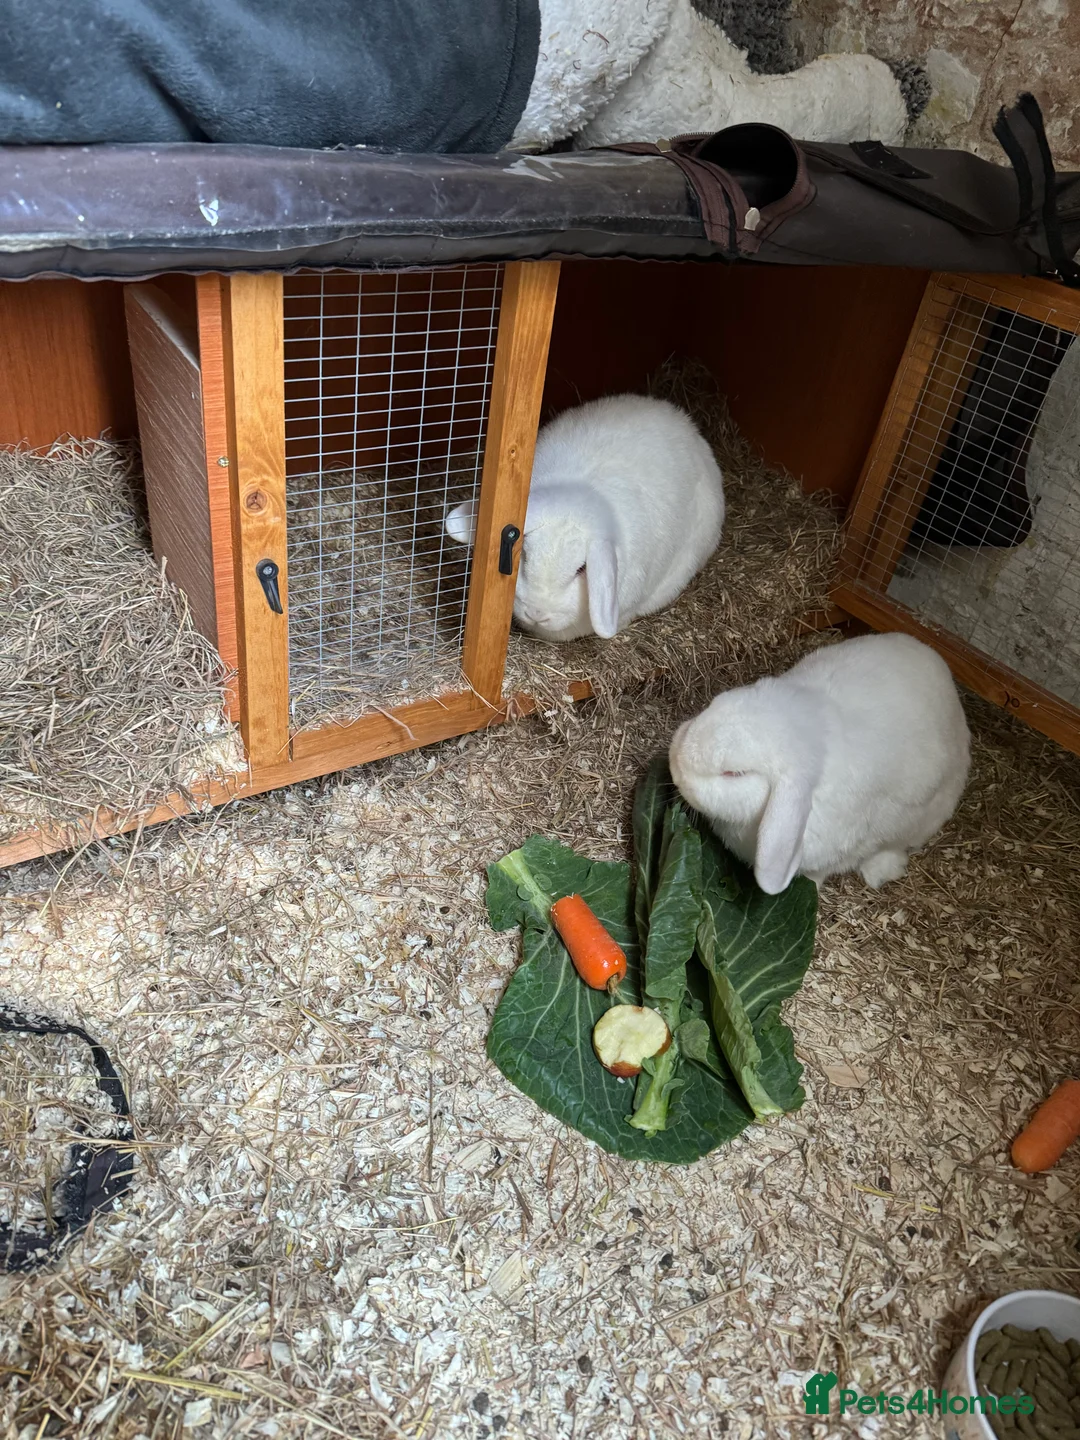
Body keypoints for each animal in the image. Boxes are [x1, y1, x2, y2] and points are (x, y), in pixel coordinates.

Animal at [668, 632, 971, 894]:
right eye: (714, 704)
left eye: (734, 773)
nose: (674, 763)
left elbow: (820, 872)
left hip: (926, 815)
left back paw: (878, 871)